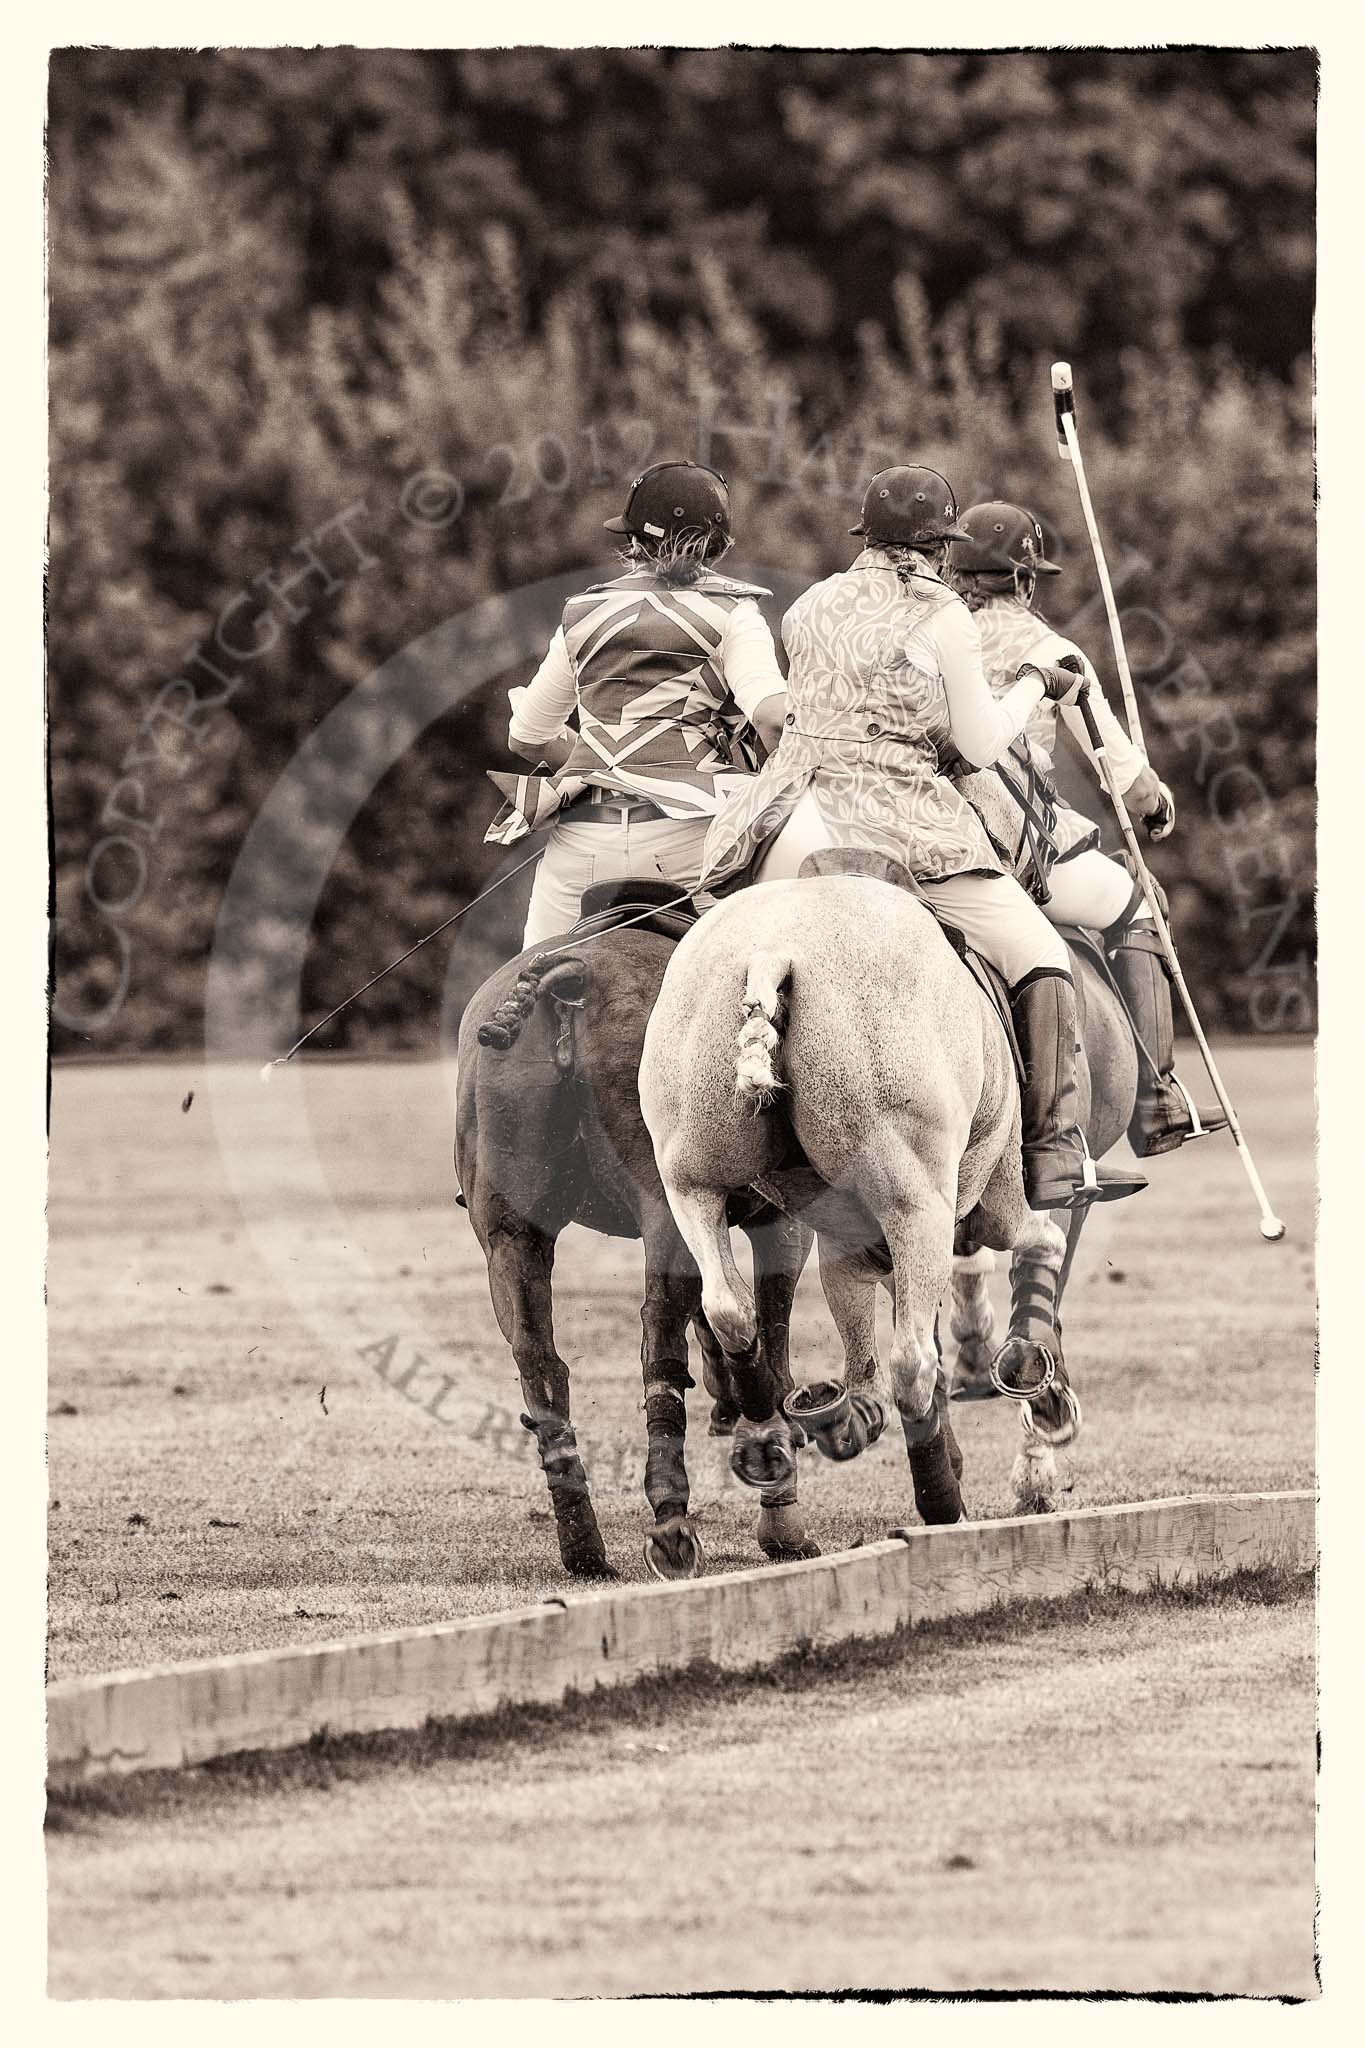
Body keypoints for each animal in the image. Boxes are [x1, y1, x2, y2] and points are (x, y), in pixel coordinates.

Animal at [454, 880, 818, 1581]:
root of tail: (570, 977)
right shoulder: (782, 1221)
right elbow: (767, 1341)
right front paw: (780, 1510)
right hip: (663, 1204)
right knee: (662, 1342)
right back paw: (673, 1520)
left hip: (510, 1231)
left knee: (541, 1362)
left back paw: (583, 1545)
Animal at [638, 839, 1096, 1531]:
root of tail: (771, 950)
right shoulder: (984, 1199)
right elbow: (1037, 1241)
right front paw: (1042, 1393)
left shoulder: (848, 1242)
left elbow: (860, 1337)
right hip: (917, 1202)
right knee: (913, 1360)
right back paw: (942, 1505)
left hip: (691, 1179)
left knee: (731, 1310)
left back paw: (779, 1434)